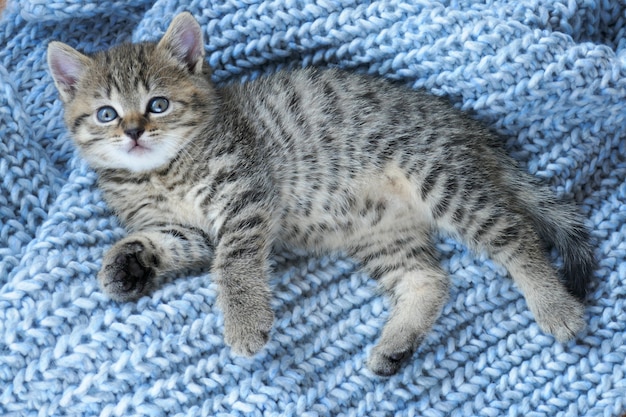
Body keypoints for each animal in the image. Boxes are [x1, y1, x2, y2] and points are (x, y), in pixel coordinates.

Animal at [48, 12, 596, 376]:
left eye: (157, 104)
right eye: (106, 114)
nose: (134, 132)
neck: (161, 172)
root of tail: (465, 127)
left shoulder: (246, 193)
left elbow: (234, 261)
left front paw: (245, 321)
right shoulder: (186, 229)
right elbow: (171, 243)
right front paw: (126, 265)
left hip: (441, 179)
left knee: (516, 235)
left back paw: (555, 306)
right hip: (382, 232)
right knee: (429, 278)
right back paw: (397, 345)